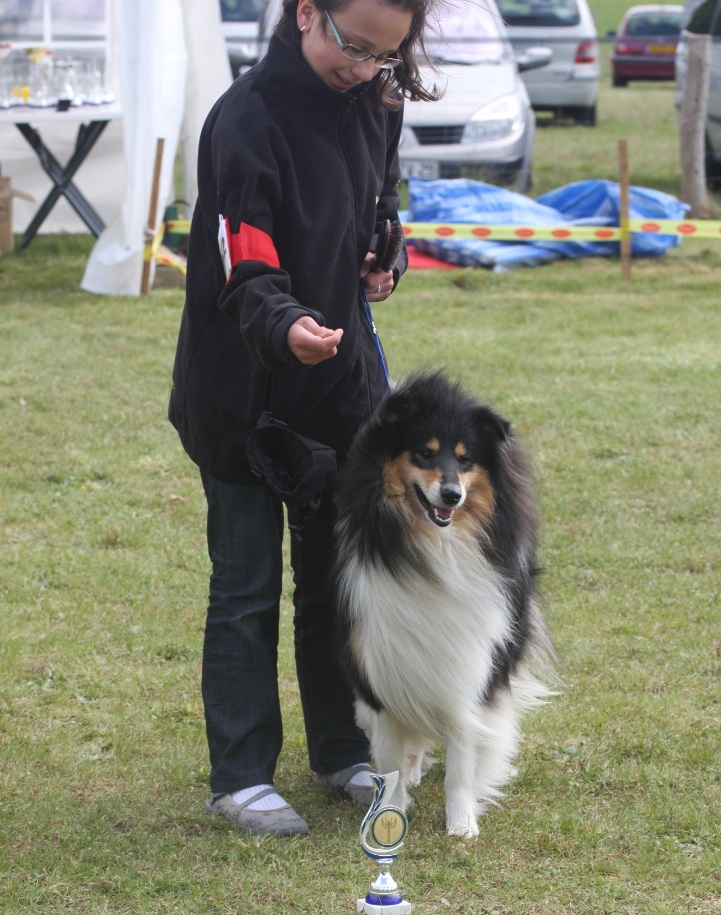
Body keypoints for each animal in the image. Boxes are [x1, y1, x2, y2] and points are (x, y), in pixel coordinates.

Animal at [332, 370, 552, 836]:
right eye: (425, 452)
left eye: (466, 460)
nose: (451, 495)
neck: (435, 548)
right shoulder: (380, 667)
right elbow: (392, 755)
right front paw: (390, 811)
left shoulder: (471, 670)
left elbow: (462, 756)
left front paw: (461, 824)